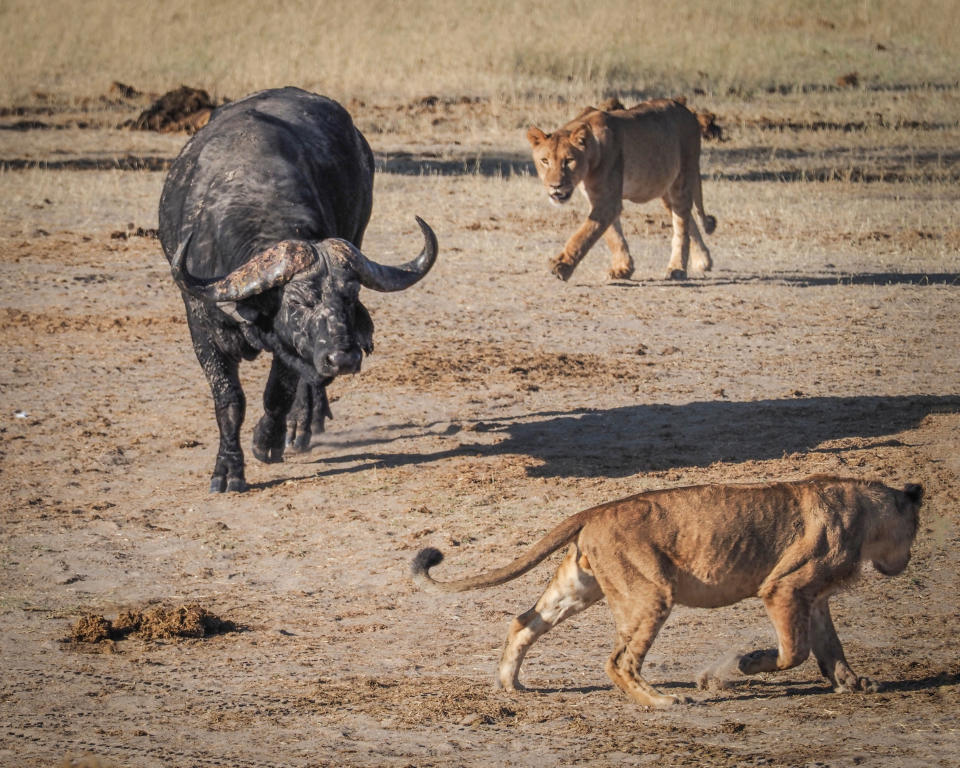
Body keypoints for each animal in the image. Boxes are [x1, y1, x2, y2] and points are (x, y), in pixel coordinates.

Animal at [158, 85, 438, 492]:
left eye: (350, 297)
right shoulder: (202, 327)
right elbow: (229, 400)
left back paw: (303, 423)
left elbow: (279, 392)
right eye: (299, 301)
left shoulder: (291, 346)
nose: (344, 358)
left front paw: (266, 441)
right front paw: (227, 471)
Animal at [410, 476, 924, 712]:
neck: (867, 512)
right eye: (917, 530)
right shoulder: (783, 587)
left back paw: (510, 684)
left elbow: (831, 647)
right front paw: (739, 667)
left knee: (522, 622)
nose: (905, 563)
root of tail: (596, 509)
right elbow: (793, 652)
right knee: (618, 661)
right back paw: (661, 702)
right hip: (650, 594)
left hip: (578, 587)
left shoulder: (815, 598)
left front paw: (854, 683)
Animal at [528, 96, 716, 282]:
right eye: (545, 161)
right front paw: (623, 269)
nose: (555, 186)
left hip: (682, 178)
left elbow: (584, 234)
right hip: (664, 188)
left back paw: (677, 268)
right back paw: (702, 260)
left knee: (681, 226)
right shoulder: (596, 198)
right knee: (688, 219)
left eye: (569, 160)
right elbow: (612, 235)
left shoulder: (608, 200)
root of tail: (688, 112)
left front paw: (562, 266)